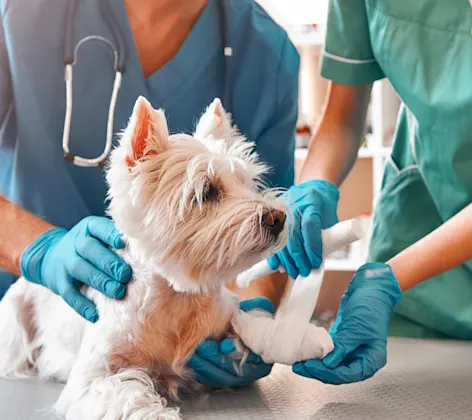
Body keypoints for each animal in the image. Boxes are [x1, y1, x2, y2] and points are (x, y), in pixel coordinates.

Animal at [0, 97, 288, 418]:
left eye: (246, 182)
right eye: (207, 191)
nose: (278, 217)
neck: (177, 300)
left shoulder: (224, 317)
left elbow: (249, 324)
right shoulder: (92, 377)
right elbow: (128, 396)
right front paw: (160, 412)